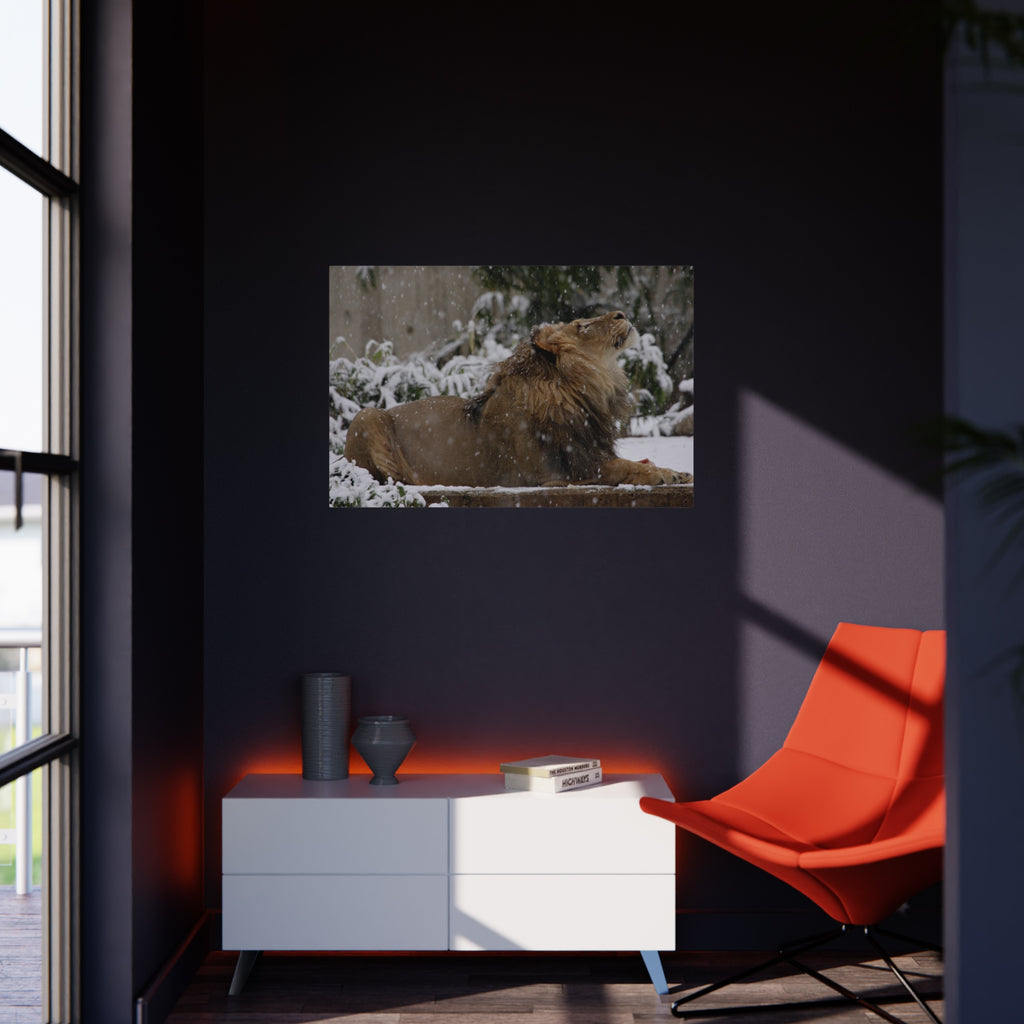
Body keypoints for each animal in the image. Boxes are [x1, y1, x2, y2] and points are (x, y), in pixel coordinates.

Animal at [343, 310, 692, 489]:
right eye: (582, 325)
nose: (621, 312)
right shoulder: (558, 474)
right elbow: (624, 468)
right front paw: (663, 474)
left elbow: (635, 462)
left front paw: (677, 471)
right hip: (367, 415)